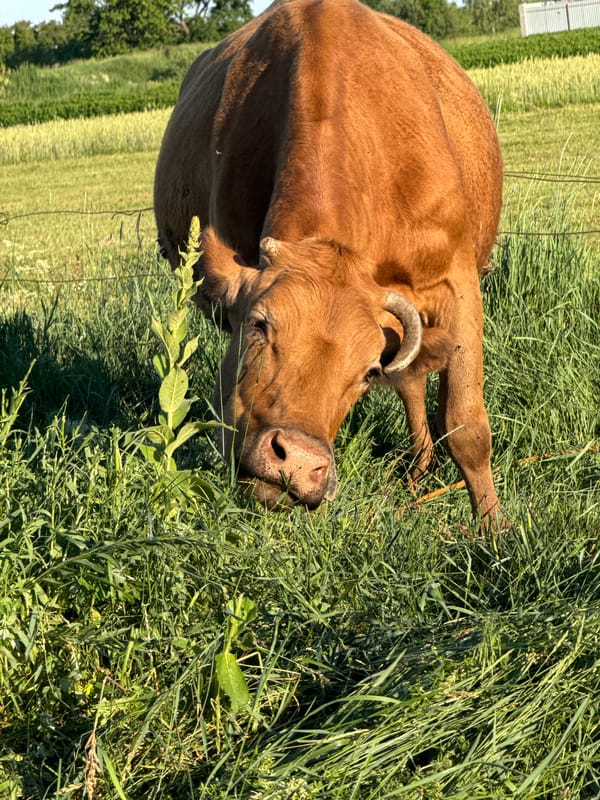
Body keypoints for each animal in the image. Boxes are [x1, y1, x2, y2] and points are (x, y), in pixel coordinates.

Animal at [154, 0, 504, 525]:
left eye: (367, 372)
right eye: (259, 326)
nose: (299, 461)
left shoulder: (457, 283)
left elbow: (466, 427)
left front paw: (496, 531)